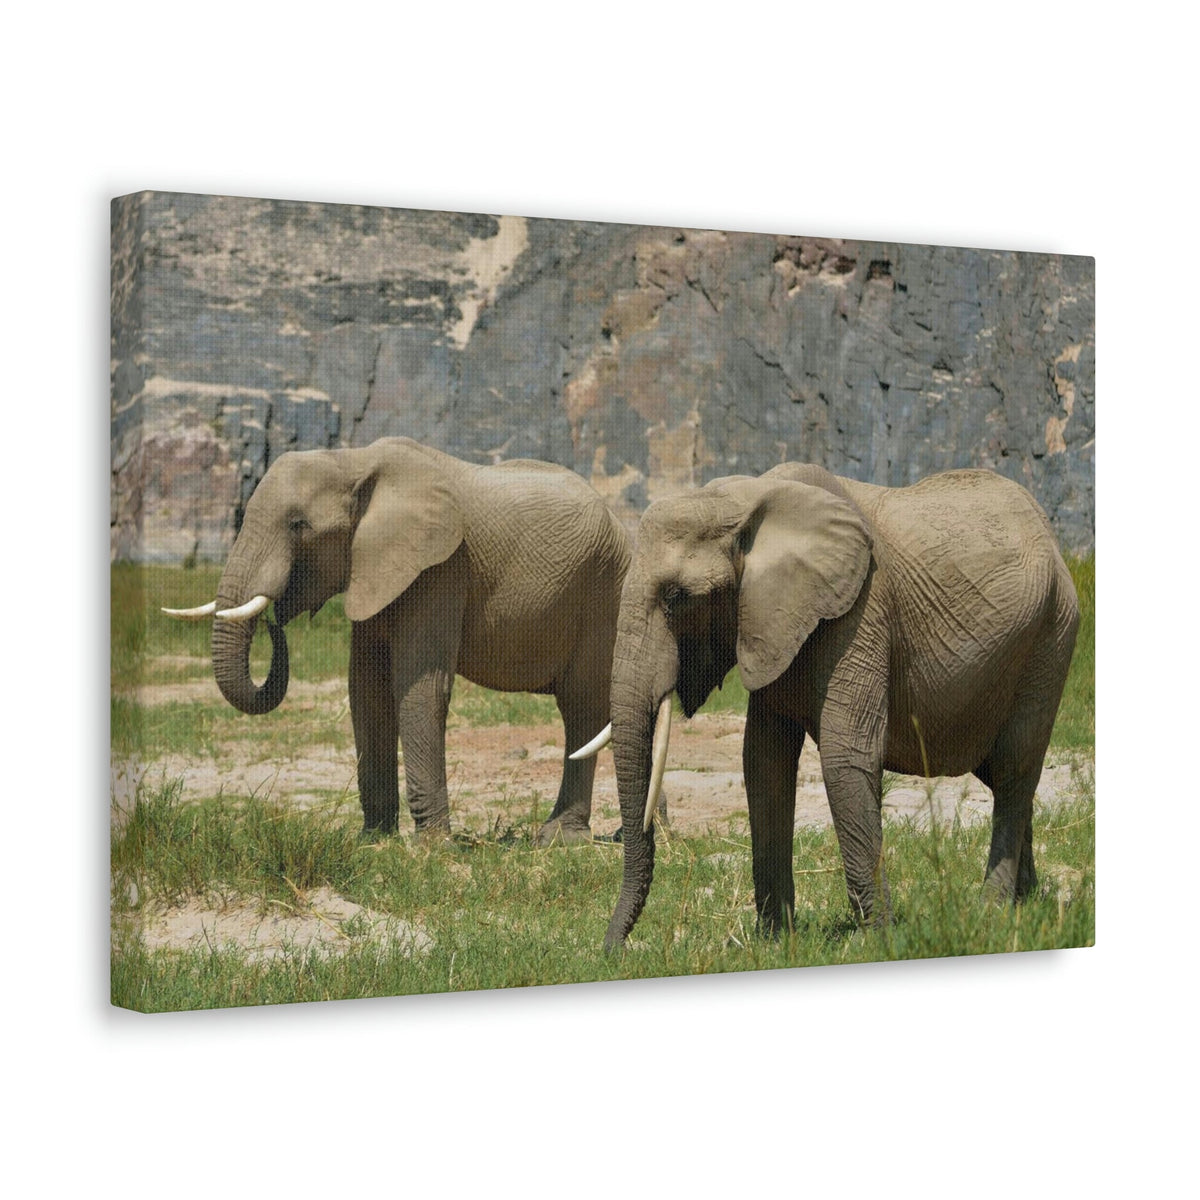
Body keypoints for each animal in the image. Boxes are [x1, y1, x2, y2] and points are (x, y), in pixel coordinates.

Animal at [163, 437, 630, 846]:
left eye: (298, 525)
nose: (274, 622)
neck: (353, 460)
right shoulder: (374, 567)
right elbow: (366, 690)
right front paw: (374, 840)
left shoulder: (442, 565)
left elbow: (420, 686)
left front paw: (432, 848)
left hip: (604, 592)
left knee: (580, 709)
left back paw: (560, 839)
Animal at [574, 463, 1079, 950]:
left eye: (676, 597)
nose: (614, 950)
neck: (744, 501)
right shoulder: (770, 621)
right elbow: (763, 762)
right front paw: (774, 942)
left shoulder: (861, 610)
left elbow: (845, 758)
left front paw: (873, 941)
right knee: (1002, 775)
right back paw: (1027, 901)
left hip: (1051, 636)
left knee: (1014, 769)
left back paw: (992, 911)